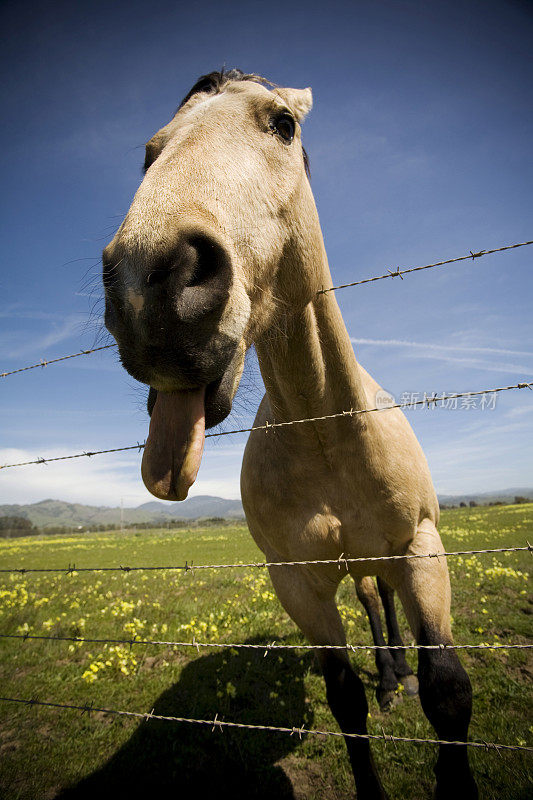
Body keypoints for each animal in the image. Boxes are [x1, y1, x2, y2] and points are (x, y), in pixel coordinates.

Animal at [102, 69, 476, 800]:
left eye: (281, 123)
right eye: (150, 152)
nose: (146, 287)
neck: (326, 432)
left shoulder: (420, 547)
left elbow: (447, 692)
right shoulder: (297, 582)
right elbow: (344, 699)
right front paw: (375, 697)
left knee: (386, 603)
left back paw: (399, 672)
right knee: (371, 601)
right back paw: (390, 676)